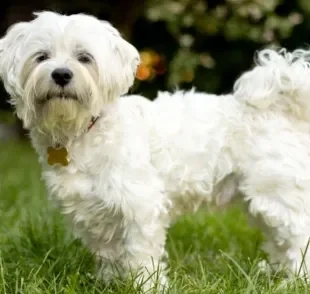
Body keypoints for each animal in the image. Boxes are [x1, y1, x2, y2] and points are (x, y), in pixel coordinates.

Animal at [0, 10, 310, 292]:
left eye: (84, 57)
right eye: (41, 57)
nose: (61, 74)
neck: (83, 130)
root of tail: (281, 108)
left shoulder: (140, 206)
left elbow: (140, 255)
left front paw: (145, 286)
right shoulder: (95, 212)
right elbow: (109, 254)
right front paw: (110, 283)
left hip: (276, 194)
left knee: (297, 236)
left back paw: (295, 281)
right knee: (280, 241)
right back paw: (278, 275)